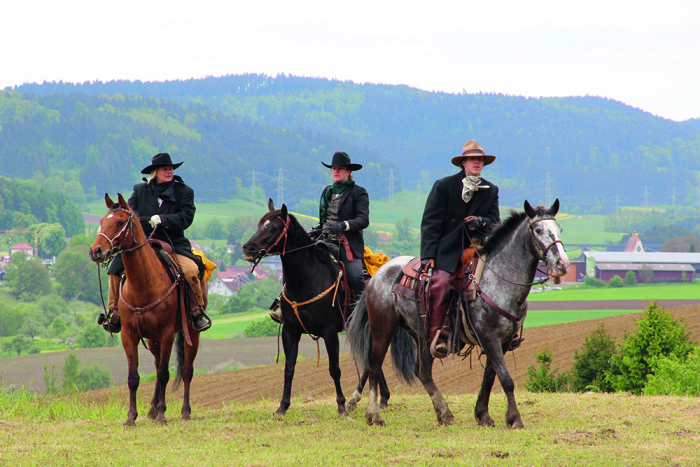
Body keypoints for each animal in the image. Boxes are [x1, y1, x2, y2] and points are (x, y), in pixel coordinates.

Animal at [86, 192, 204, 426]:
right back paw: (151, 410)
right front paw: (131, 417)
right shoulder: (129, 335)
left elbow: (164, 374)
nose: (96, 251)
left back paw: (185, 412)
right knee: (159, 366)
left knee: (186, 370)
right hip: (152, 338)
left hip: (191, 333)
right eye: (102, 221)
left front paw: (162, 416)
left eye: (120, 222)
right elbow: (134, 378)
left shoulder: (167, 334)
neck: (143, 283)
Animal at [241, 200, 396, 416]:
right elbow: (289, 369)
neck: (305, 281)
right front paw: (282, 406)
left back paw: (356, 399)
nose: (248, 248)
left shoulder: (329, 332)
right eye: (258, 225)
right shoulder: (290, 331)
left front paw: (341, 405)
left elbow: (334, 369)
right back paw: (381, 398)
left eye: (274, 228)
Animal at [348, 200, 572, 428]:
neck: (498, 279)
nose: (562, 263)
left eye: (560, 229)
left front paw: (483, 415)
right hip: (382, 329)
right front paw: (515, 419)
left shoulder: (503, 341)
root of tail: (378, 274)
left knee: (422, 371)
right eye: (538, 230)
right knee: (374, 367)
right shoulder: (489, 337)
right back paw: (373, 415)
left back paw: (444, 413)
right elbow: (506, 379)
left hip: (422, 335)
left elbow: (490, 377)